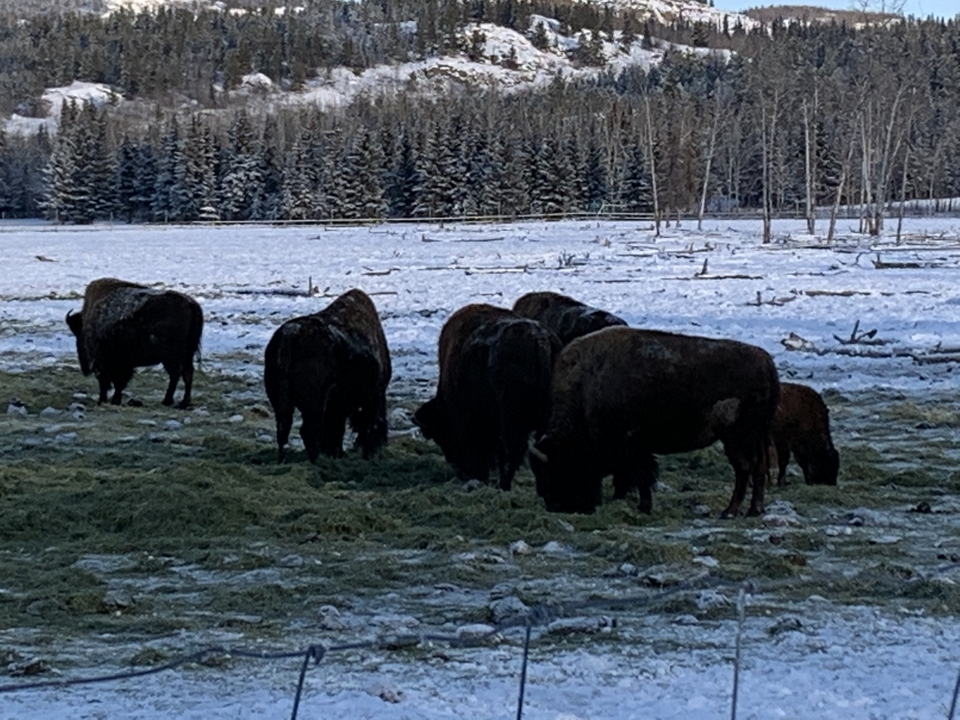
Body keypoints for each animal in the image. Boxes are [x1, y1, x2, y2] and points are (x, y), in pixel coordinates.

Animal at [66, 278, 203, 408]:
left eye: (78, 335)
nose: (85, 368)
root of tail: (191, 305)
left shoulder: (108, 363)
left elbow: (110, 382)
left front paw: (107, 400)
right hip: (186, 354)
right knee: (187, 373)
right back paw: (183, 402)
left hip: (170, 356)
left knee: (176, 374)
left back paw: (167, 401)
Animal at [264, 289, 391, 463]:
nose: (381, 446)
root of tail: (290, 335)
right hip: (313, 405)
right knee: (308, 431)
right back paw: (316, 459)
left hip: (281, 403)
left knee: (283, 430)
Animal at [413, 304, 562, 491]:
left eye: (442, 435)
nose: (459, 470)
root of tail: (540, 339)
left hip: (511, 418)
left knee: (514, 449)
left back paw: (504, 484)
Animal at [529, 327, 780, 518]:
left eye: (551, 471)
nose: (555, 506)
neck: (586, 388)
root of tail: (766, 361)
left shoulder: (633, 444)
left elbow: (641, 475)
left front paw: (644, 507)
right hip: (755, 436)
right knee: (758, 467)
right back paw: (754, 510)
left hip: (736, 438)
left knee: (744, 468)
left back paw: (729, 511)